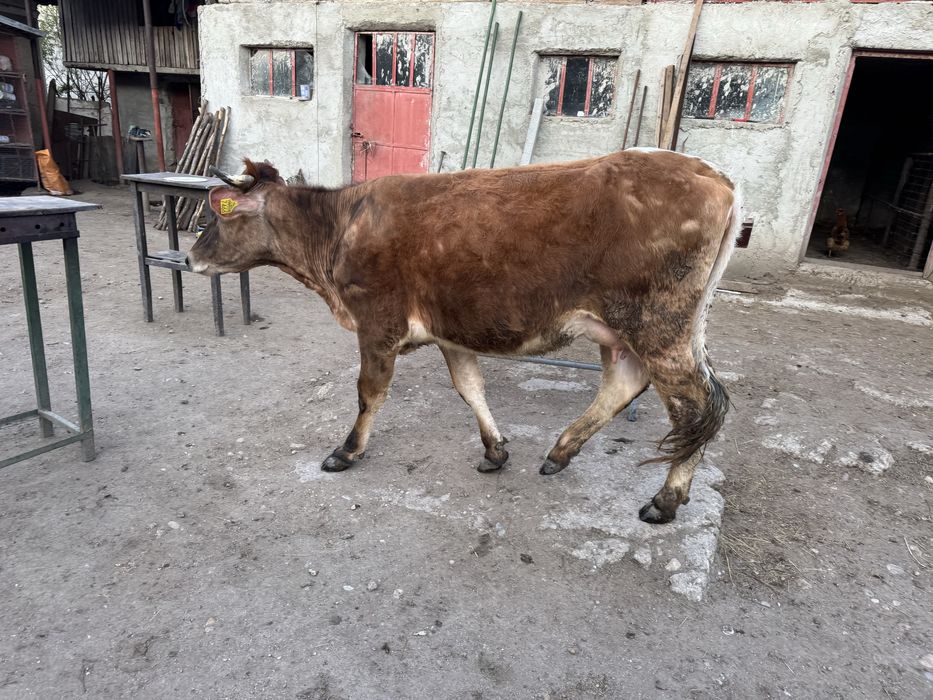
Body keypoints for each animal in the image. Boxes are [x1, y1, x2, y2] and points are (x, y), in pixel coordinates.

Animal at [187, 148, 739, 524]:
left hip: (658, 325)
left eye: (218, 214)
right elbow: (470, 388)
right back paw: (559, 453)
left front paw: (346, 452)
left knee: (695, 407)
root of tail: (710, 174)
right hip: (639, 329)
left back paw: (665, 500)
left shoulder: (377, 323)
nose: (190, 257)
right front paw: (495, 451)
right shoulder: (450, 332)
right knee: (627, 385)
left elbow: (370, 393)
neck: (340, 228)